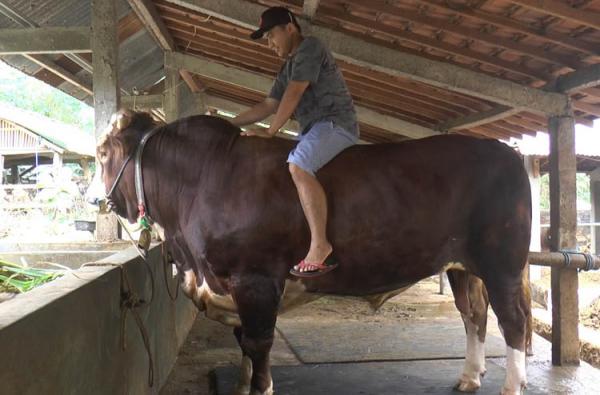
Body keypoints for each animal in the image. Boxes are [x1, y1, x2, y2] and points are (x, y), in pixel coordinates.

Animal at [96, 110, 532, 395]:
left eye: (101, 153)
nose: (94, 200)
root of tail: (506, 150)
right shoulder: (233, 286)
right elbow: (242, 341)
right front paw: (240, 385)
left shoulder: (255, 279)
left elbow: (258, 343)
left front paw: (260, 387)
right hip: (463, 265)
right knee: (473, 314)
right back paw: (469, 377)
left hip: (503, 263)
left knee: (512, 320)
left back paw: (511, 386)